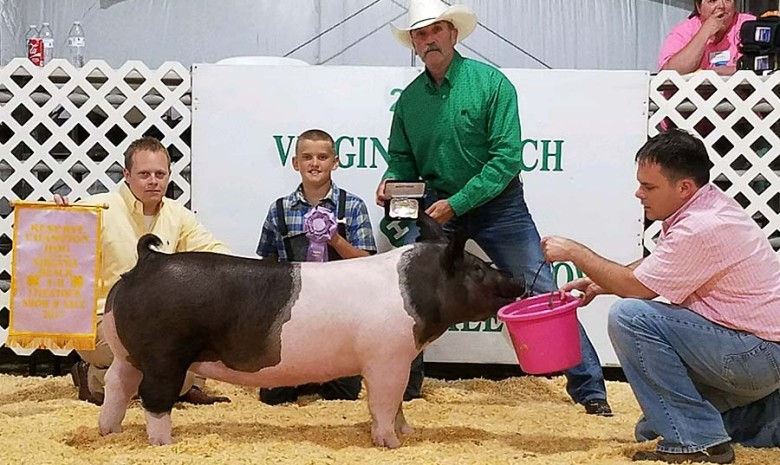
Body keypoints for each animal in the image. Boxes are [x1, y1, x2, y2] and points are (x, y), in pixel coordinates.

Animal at [97, 214, 524, 446]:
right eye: (478, 269)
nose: (517, 279)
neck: (416, 292)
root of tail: (148, 261)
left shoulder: (398, 359)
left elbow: (399, 401)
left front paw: (410, 432)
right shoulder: (386, 357)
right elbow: (384, 402)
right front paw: (391, 443)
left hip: (127, 352)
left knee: (116, 384)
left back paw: (109, 432)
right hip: (165, 355)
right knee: (153, 397)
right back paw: (164, 442)